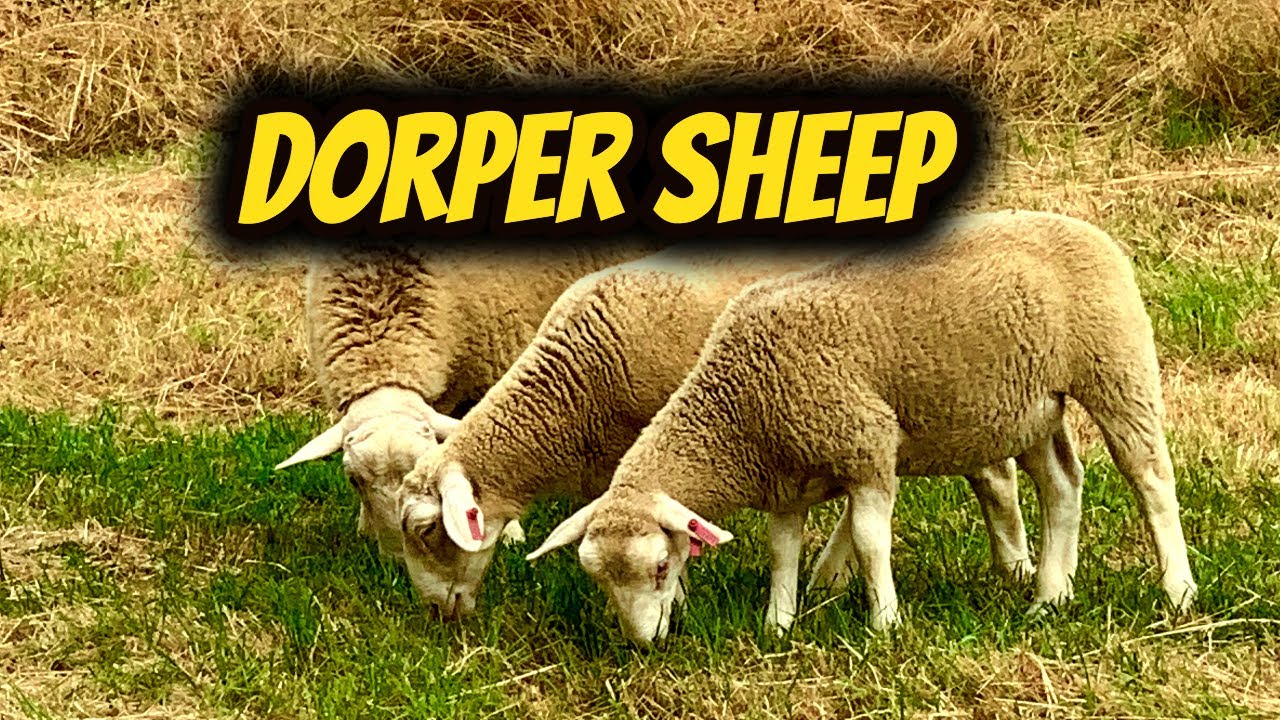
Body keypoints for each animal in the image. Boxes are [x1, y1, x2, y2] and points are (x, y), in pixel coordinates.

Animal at [398, 241, 1034, 624]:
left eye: (428, 532)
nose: (437, 614)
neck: (572, 387)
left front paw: (675, 598)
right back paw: (831, 574)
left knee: (993, 469)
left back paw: (1016, 565)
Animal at [527, 210, 1198, 644]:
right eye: (598, 581)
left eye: (663, 569)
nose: (644, 645)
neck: (738, 409)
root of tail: (1086, 228)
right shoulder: (786, 480)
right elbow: (782, 551)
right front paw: (778, 623)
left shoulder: (866, 445)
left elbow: (873, 539)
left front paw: (885, 624)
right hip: (1029, 405)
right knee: (1061, 483)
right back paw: (1049, 597)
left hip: (1115, 363)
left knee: (1149, 477)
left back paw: (1178, 589)